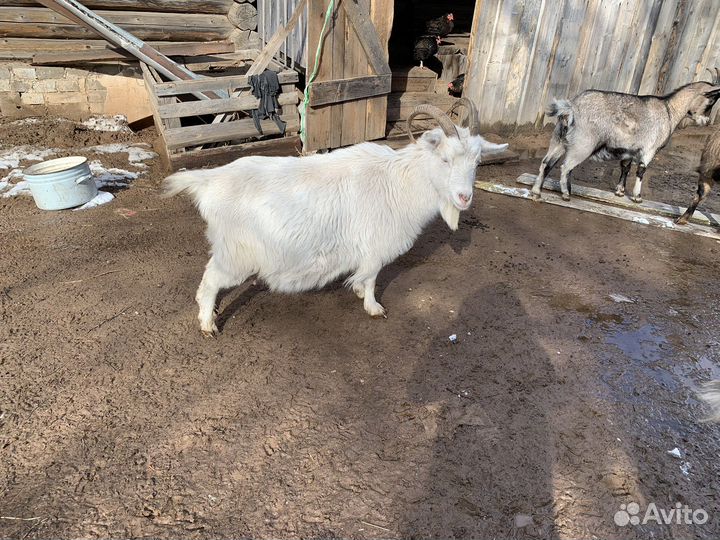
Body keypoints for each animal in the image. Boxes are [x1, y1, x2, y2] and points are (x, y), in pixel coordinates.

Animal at [164, 100, 508, 336]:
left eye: (478, 162)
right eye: (445, 159)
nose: (464, 198)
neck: (399, 181)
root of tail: (208, 181)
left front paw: (359, 293)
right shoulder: (374, 246)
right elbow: (371, 277)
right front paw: (372, 306)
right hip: (236, 252)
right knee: (210, 281)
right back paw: (208, 324)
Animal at [531, 74, 720, 203]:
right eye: (711, 101)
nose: (706, 121)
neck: (669, 110)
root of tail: (571, 108)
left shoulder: (629, 149)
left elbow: (625, 168)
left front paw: (620, 192)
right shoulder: (649, 149)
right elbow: (641, 170)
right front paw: (637, 197)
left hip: (558, 140)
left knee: (546, 163)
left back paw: (536, 192)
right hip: (583, 145)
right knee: (565, 167)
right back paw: (565, 194)